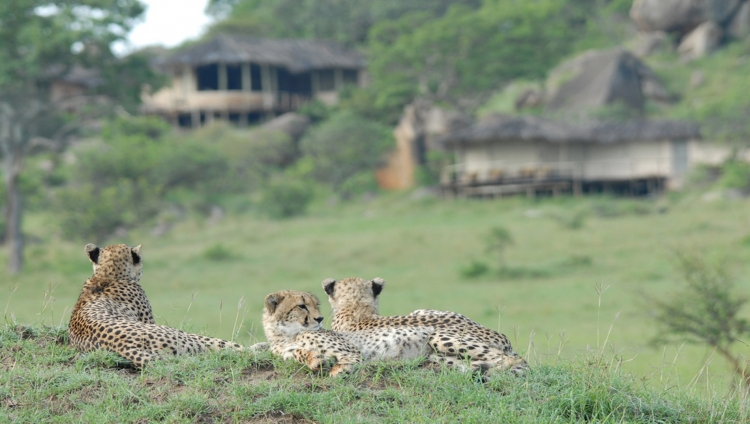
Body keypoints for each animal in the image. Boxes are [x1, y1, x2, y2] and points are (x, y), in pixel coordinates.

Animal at [262, 290, 434, 376]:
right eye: (302, 306)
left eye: (316, 305)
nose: (320, 318)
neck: (286, 335)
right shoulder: (287, 353)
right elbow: (300, 353)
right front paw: (314, 360)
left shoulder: (351, 351)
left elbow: (347, 359)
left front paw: (337, 370)